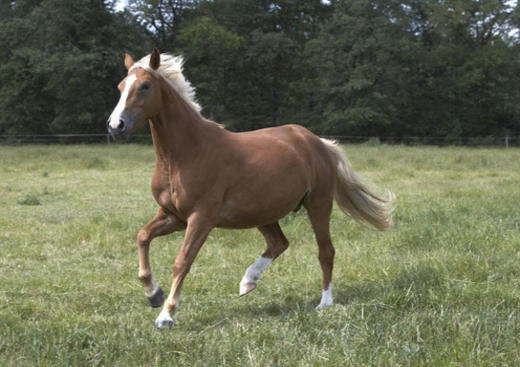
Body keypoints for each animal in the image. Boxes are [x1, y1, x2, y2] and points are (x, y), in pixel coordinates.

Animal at [106, 48, 394, 328]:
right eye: (120, 86)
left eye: (145, 86)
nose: (115, 126)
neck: (184, 155)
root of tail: (317, 142)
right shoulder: (173, 216)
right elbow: (143, 236)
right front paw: (154, 294)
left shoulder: (201, 218)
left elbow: (182, 262)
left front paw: (166, 315)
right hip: (263, 213)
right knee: (279, 243)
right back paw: (248, 282)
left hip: (318, 204)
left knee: (326, 251)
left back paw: (325, 303)